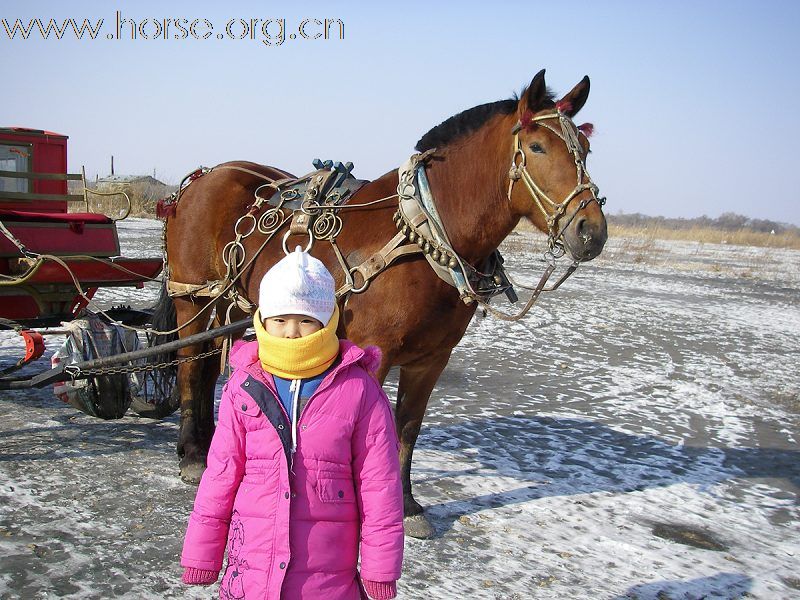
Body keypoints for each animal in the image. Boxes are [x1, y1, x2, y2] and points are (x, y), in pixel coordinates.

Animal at [161, 68, 608, 536]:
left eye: (586, 149)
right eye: (537, 147)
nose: (591, 232)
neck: (422, 234)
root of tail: (201, 178)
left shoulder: (432, 359)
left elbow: (407, 426)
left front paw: (407, 504)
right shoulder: (374, 352)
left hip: (225, 303)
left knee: (208, 365)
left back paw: (209, 446)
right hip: (192, 299)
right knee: (190, 364)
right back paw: (192, 454)